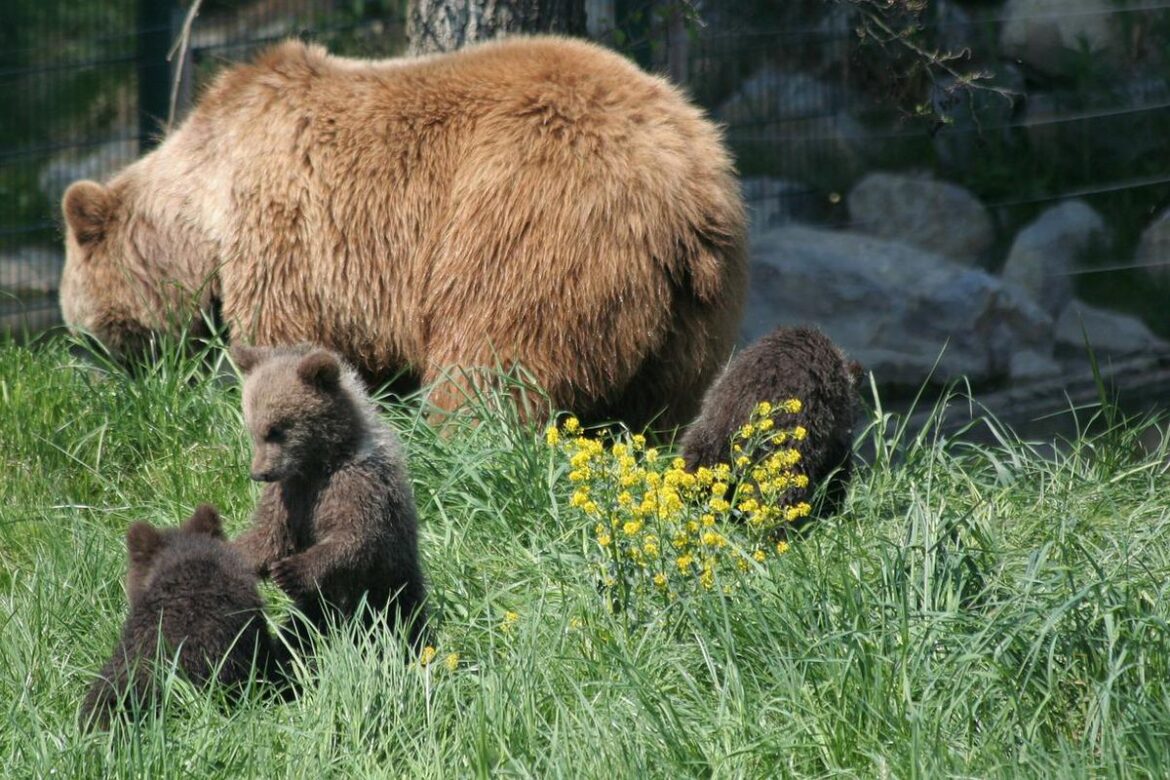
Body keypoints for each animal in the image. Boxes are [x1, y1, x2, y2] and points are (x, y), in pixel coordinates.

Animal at [57, 33, 739, 430]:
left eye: (82, 325)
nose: (93, 375)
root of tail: (686, 186)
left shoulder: (286, 233)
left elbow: (284, 338)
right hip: (692, 316)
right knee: (660, 411)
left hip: (530, 220)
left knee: (490, 364)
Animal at [230, 343, 428, 650]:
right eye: (254, 431)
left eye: (276, 430)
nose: (258, 473)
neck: (319, 463)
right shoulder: (289, 494)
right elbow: (268, 538)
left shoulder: (357, 486)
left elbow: (355, 536)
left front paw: (289, 571)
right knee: (299, 632)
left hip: (390, 589)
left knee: (401, 621)